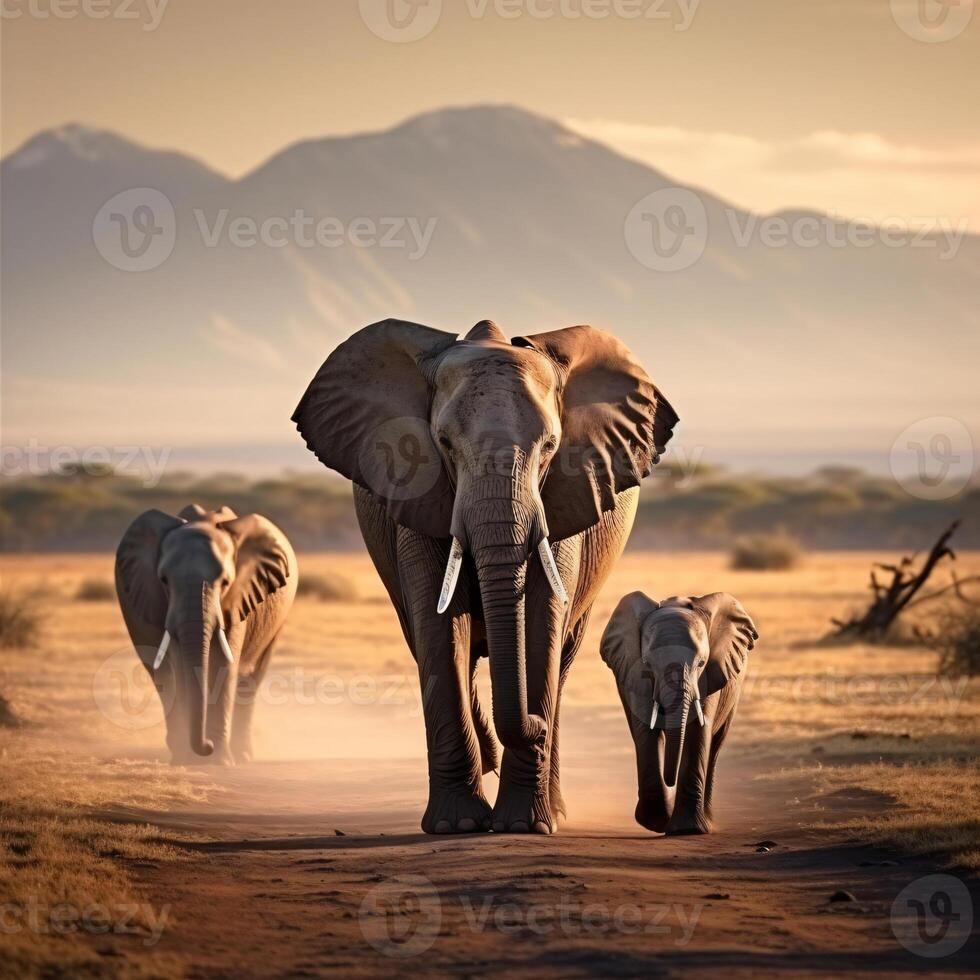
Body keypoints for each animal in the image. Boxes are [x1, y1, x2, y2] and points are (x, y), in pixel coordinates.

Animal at [116, 506, 298, 764]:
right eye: (164, 580)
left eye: (226, 582)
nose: (207, 746)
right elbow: (179, 666)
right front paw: (191, 761)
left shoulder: (240, 596)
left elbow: (223, 664)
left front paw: (218, 762)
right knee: (162, 677)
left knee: (252, 677)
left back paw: (242, 756)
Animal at [290, 320, 672, 836]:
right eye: (444, 444)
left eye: (551, 447)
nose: (533, 726)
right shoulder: (417, 492)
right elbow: (439, 627)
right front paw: (460, 824)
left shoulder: (567, 496)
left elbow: (541, 622)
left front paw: (525, 826)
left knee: (562, 656)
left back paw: (551, 804)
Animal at [596, 588, 756, 836]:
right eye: (647, 664)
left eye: (701, 663)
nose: (670, 782)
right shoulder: (635, 675)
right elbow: (646, 730)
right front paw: (656, 822)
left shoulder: (710, 676)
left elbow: (698, 729)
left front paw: (687, 829)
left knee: (715, 745)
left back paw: (707, 821)